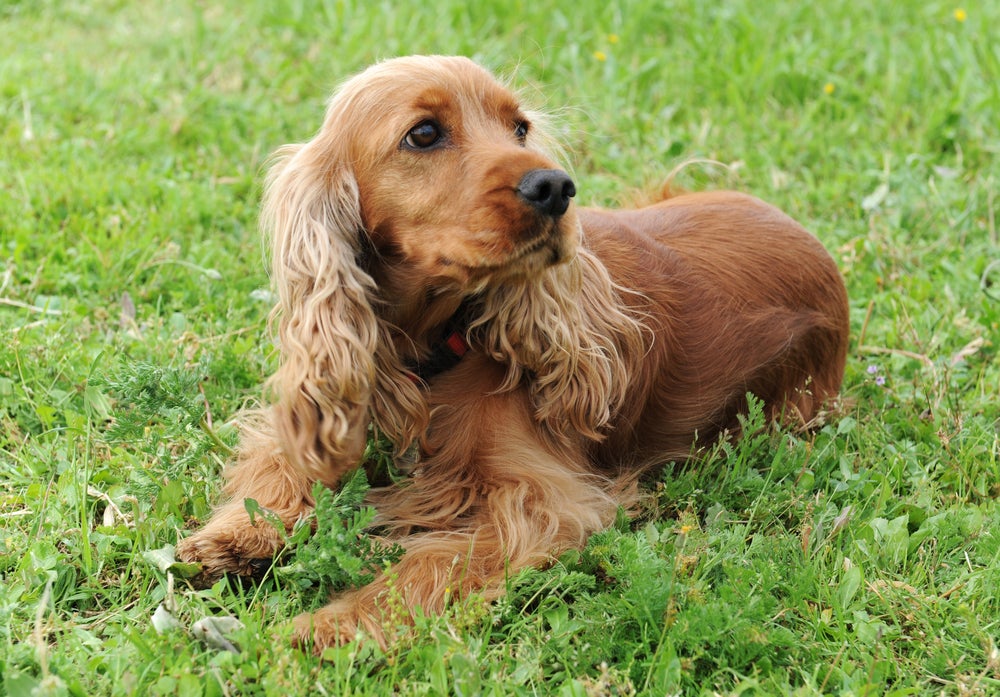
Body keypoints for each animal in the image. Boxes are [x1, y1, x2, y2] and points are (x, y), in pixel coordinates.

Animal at [176, 53, 848, 648]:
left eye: (519, 128)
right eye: (424, 134)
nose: (555, 186)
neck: (429, 349)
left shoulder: (540, 502)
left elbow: (431, 564)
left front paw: (334, 626)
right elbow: (282, 463)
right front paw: (231, 538)